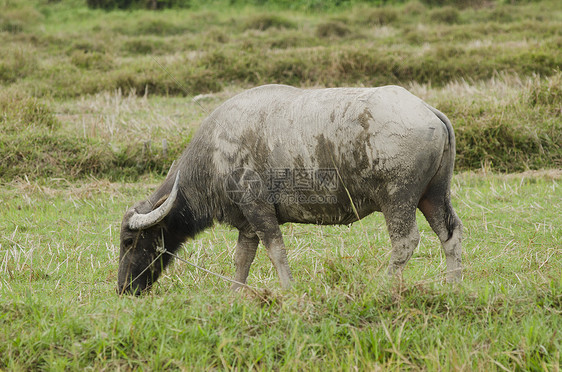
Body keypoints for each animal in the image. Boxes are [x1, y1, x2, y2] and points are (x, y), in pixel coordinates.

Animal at [117, 85, 460, 296]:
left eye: (128, 241)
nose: (122, 288)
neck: (213, 154)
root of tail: (427, 110)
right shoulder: (247, 224)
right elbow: (242, 259)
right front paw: (235, 293)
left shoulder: (259, 210)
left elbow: (276, 251)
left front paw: (287, 288)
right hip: (433, 195)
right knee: (450, 233)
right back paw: (453, 284)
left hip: (397, 198)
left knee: (405, 242)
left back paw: (383, 286)